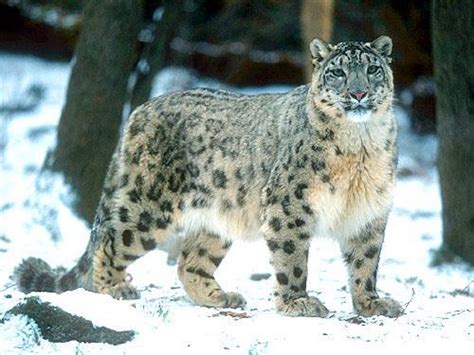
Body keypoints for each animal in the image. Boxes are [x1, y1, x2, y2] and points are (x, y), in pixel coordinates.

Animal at [12, 36, 402, 318]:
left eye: (372, 69)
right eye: (338, 72)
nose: (358, 92)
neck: (360, 146)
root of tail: (140, 110)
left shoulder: (370, 211)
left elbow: (366, 262)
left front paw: (371, 303)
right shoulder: (290, 206)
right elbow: (292, 259)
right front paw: (297, 302)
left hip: (215, 220)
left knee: (190, 262)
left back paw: (221, 297)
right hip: (147, 207)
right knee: (111, 242)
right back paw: (116, 288)